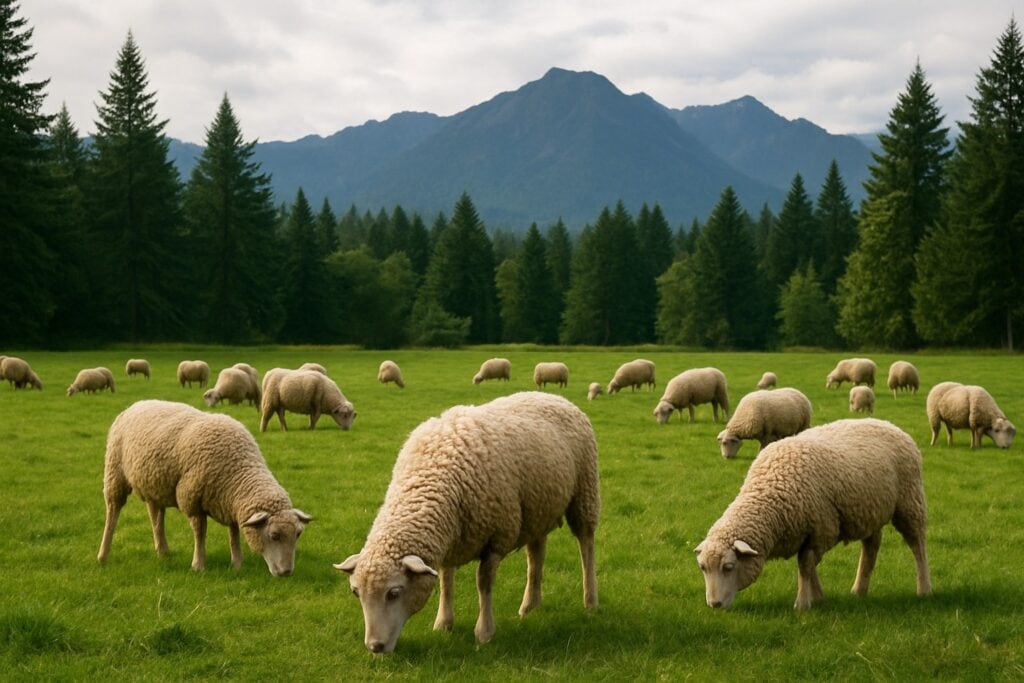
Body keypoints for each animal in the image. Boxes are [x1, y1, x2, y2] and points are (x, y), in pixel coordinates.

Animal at [97, 400, 312, 575]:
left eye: (298, 534)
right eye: (274, 535)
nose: (286, 572)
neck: (239, 469)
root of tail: (135, 405)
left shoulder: (229, 503)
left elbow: (234, 533)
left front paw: (237, 563)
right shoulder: (192, 499)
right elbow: (200, 532)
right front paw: (198, 565)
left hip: (154, 484)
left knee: (155, 515)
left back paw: (163, 551)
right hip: (115, 472)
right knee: (113, 511)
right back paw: (103, 555)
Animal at [334, 391, 599, 653]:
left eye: (393, 593)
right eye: (356, 593)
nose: (374, 646)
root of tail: (553, 395)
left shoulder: (496, 538)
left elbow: (484, 584)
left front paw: (484, 632)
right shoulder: (450, 540)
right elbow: (445, 582)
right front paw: (443, 622)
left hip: (584, 492)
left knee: (586, 545)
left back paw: (590, 602)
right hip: (538, 507)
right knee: (536, 554)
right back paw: (530, 606)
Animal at [696, 418, 931, 611]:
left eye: (728, 567)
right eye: (703, 568)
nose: (714, 604)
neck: (770, 492)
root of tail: (890, 425)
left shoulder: (822, 529)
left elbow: (805, 565)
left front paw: (803, 603)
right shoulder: (804, 533)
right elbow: (808, 566)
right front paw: (817, 597)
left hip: (909, 502)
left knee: (917, 544)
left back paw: (924, 589)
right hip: (870, 510)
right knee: (872, 546)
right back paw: (859, 590)